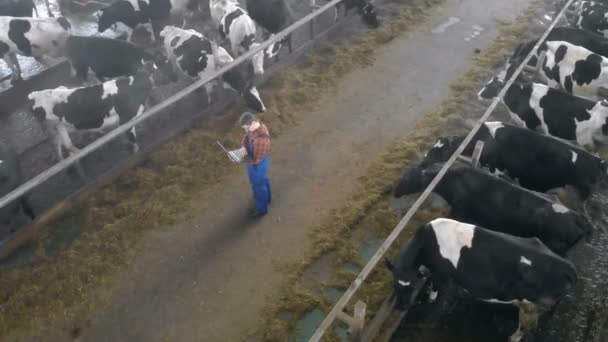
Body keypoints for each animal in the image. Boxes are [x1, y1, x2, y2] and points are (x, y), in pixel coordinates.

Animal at [28, 70, 157, 161]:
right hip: (51, 127)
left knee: (61, 145)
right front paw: (136, 151)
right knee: (62, 145)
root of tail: (33, 95)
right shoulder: (127, 120)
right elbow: (133, 139)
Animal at [388, 218, 576, 342]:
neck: (428, 241)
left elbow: (436, 287)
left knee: (525, 328)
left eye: (412, 286)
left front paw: (430, 298)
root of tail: (567, 266)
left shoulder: (441, 272)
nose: (400, 307)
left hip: (530, 306)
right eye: (394, 286)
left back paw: (513, 337)